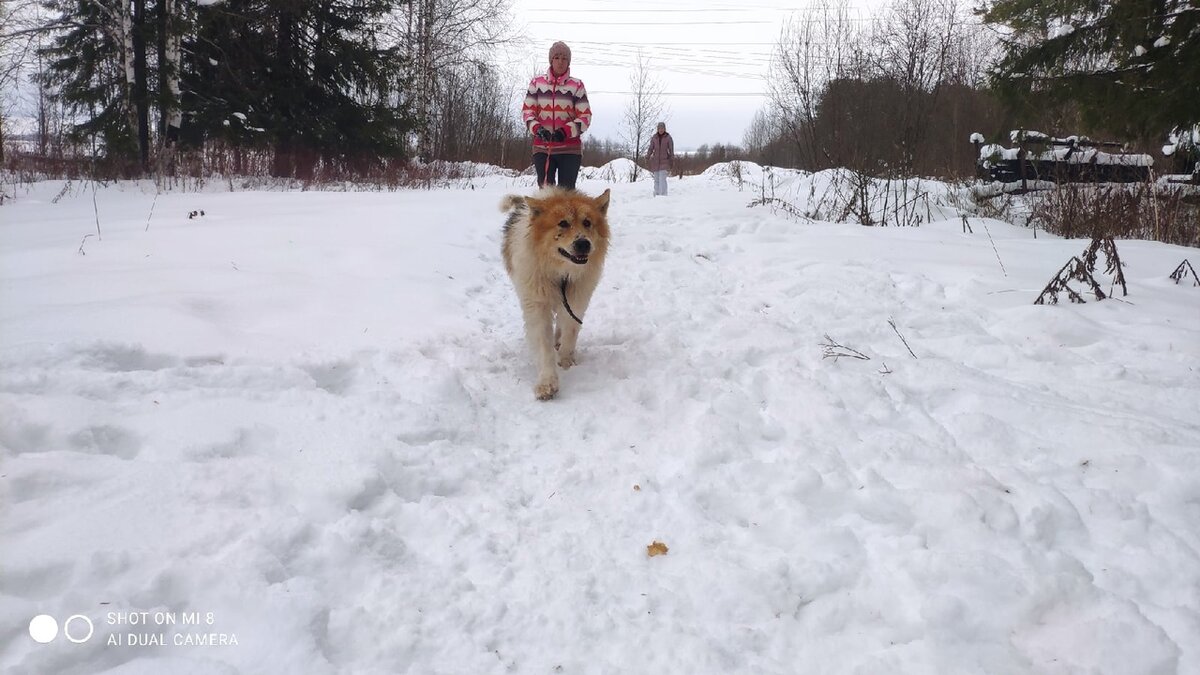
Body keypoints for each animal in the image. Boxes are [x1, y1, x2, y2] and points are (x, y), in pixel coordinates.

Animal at [496, 186, 609, 396]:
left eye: (587, 222)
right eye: (563, 223)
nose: (583, 244)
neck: (560, 272)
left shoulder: (577, 299)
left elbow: (570, 331)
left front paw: (566, 361)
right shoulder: (536, 304)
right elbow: (543, 346)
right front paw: (547, 382)